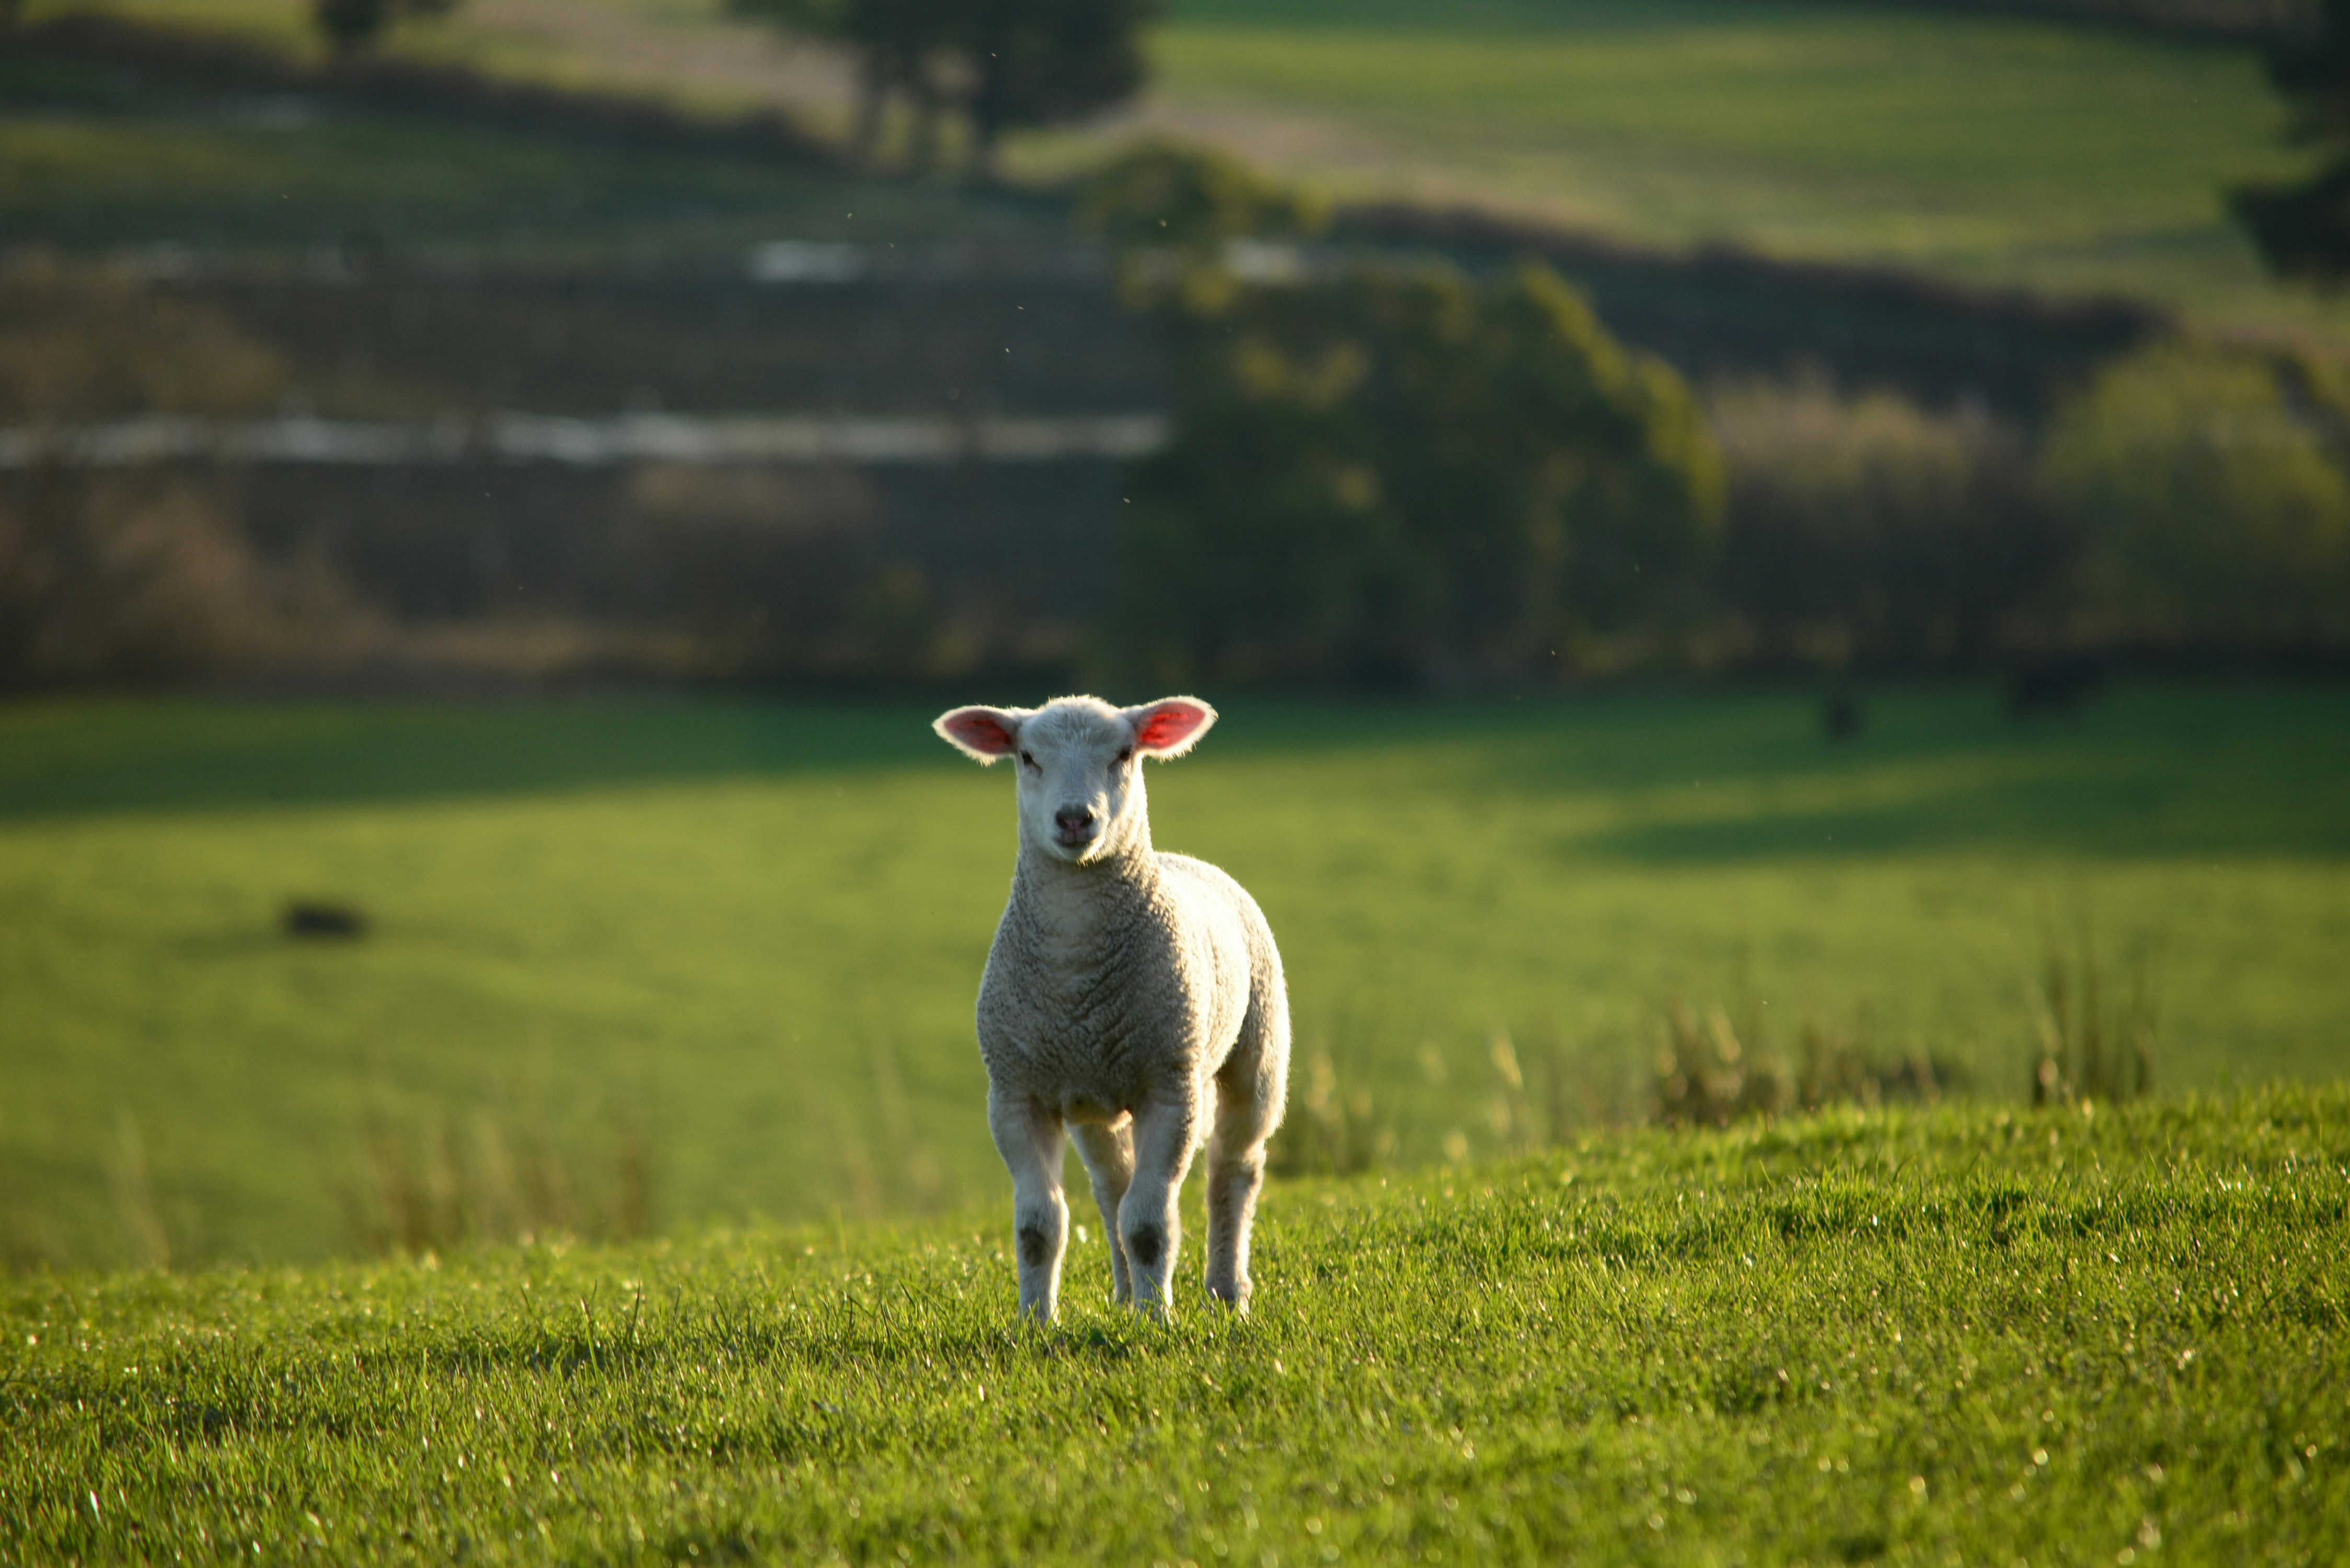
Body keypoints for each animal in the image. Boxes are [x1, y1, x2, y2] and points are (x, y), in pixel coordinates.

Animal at [933, 694, 1290, 1322]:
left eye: (1124, 753)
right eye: (1027, 757)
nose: (1075, 819)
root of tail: (1181, 859)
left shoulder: (1169, 1086)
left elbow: (1149, 1223)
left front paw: (1157, 1320)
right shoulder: (1015, 1093)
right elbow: (1038, 1226)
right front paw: (1035, 1322)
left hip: (1259, 1050)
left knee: (1234, 1169)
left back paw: (1225, 1292)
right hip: (1092, 1105)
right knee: (1111, 1187)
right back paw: (1126, 1295)